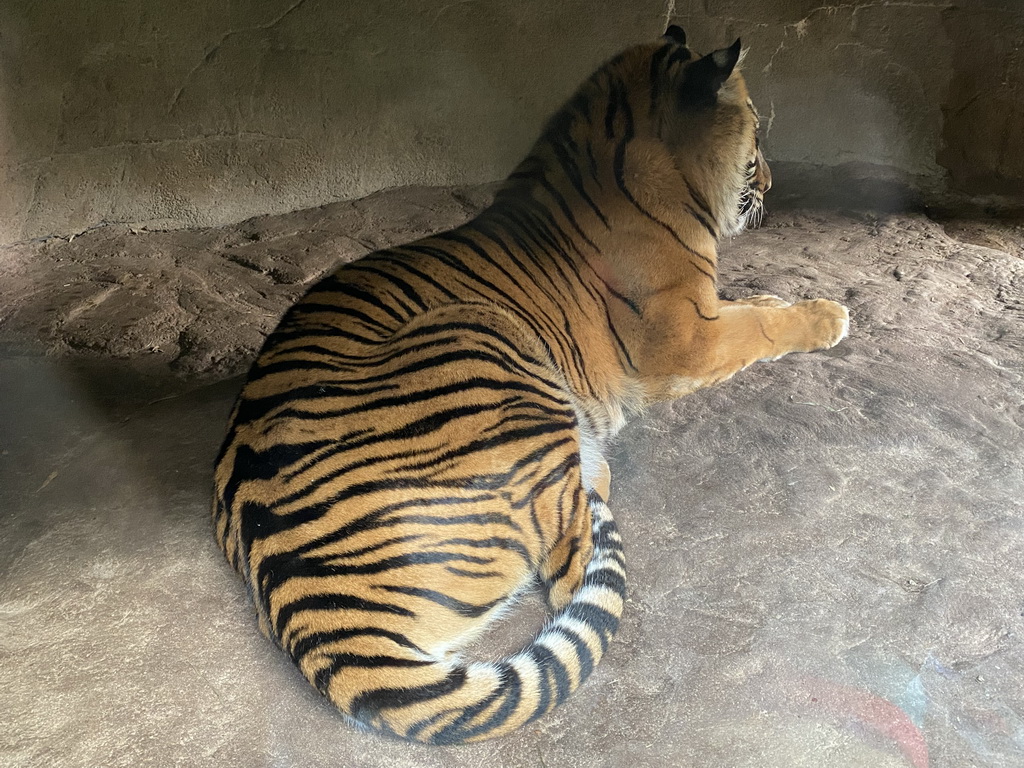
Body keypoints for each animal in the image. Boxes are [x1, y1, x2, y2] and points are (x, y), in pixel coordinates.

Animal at [209, 25, 847, 745]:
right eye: (757, 137)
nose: (773, 181)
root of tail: (288, 578)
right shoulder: (687, 337)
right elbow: (763, 323)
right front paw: (828, 315)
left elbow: (753, 304)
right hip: (487, 335)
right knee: (572, 560)